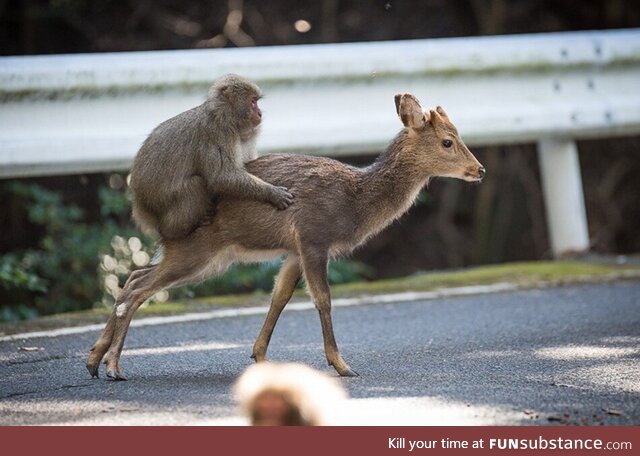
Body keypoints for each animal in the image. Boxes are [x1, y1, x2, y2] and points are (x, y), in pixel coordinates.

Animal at [85, 91, 484, 380]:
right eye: (448, 141)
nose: (479, 169)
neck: (354, 202)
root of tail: (158, 220)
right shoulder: (313, 236)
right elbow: (322, 298)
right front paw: (342, 365)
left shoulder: (293, 249)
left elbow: (279, 296)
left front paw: (260, 357)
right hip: (197, 250)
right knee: (138, 288)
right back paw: (114, 367)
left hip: (205, 257)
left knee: (133, 277)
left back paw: (94, 360)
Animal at [129, 73, 292, 240]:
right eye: (253, 101)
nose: (260, 113)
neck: (224, 115)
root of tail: (140, 204)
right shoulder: (218, 134)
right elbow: (221, 177)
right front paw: (271, 193)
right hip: (160, 204)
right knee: (195, 184)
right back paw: (176, 230)